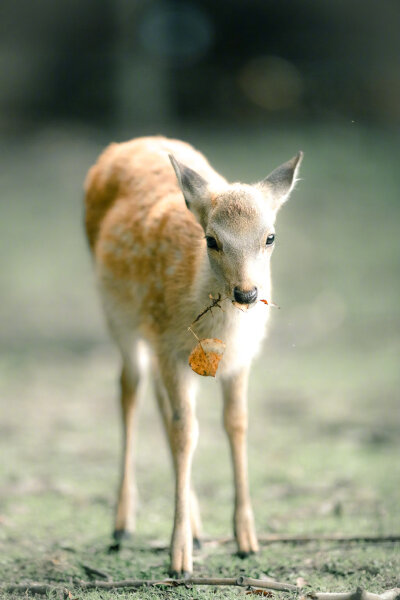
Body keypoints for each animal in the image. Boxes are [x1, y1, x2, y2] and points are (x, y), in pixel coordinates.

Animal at [84, 136, 304, 576]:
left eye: (270, 237)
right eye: (212, 240)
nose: (247, 293)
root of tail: (126, 144)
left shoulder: (238, 359)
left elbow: (236, 424)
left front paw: (246, 540)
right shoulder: (168, 344)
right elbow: (186, 432)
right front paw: (178, 557)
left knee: (158, 401)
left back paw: (199, 529)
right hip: (119, 317)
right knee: (130, 389)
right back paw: (122, 524)